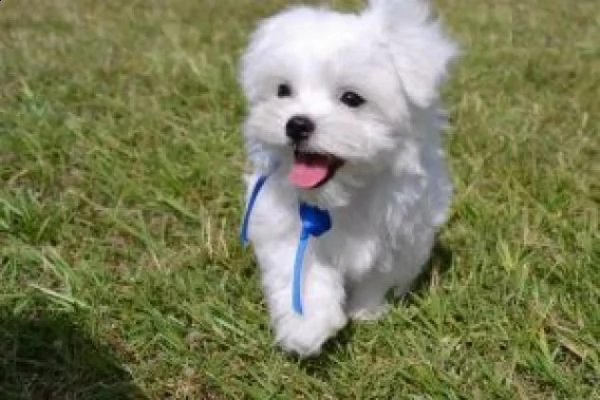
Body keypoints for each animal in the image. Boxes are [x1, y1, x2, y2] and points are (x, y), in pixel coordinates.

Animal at [237, 0, 458, 356]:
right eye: (283, 90)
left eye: (352, 98)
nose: (297, 124)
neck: (345, 194)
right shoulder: (285, 224)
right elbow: (303, 272)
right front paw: (306, 329)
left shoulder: (403, 233)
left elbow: (377, 277)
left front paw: (366, 312)